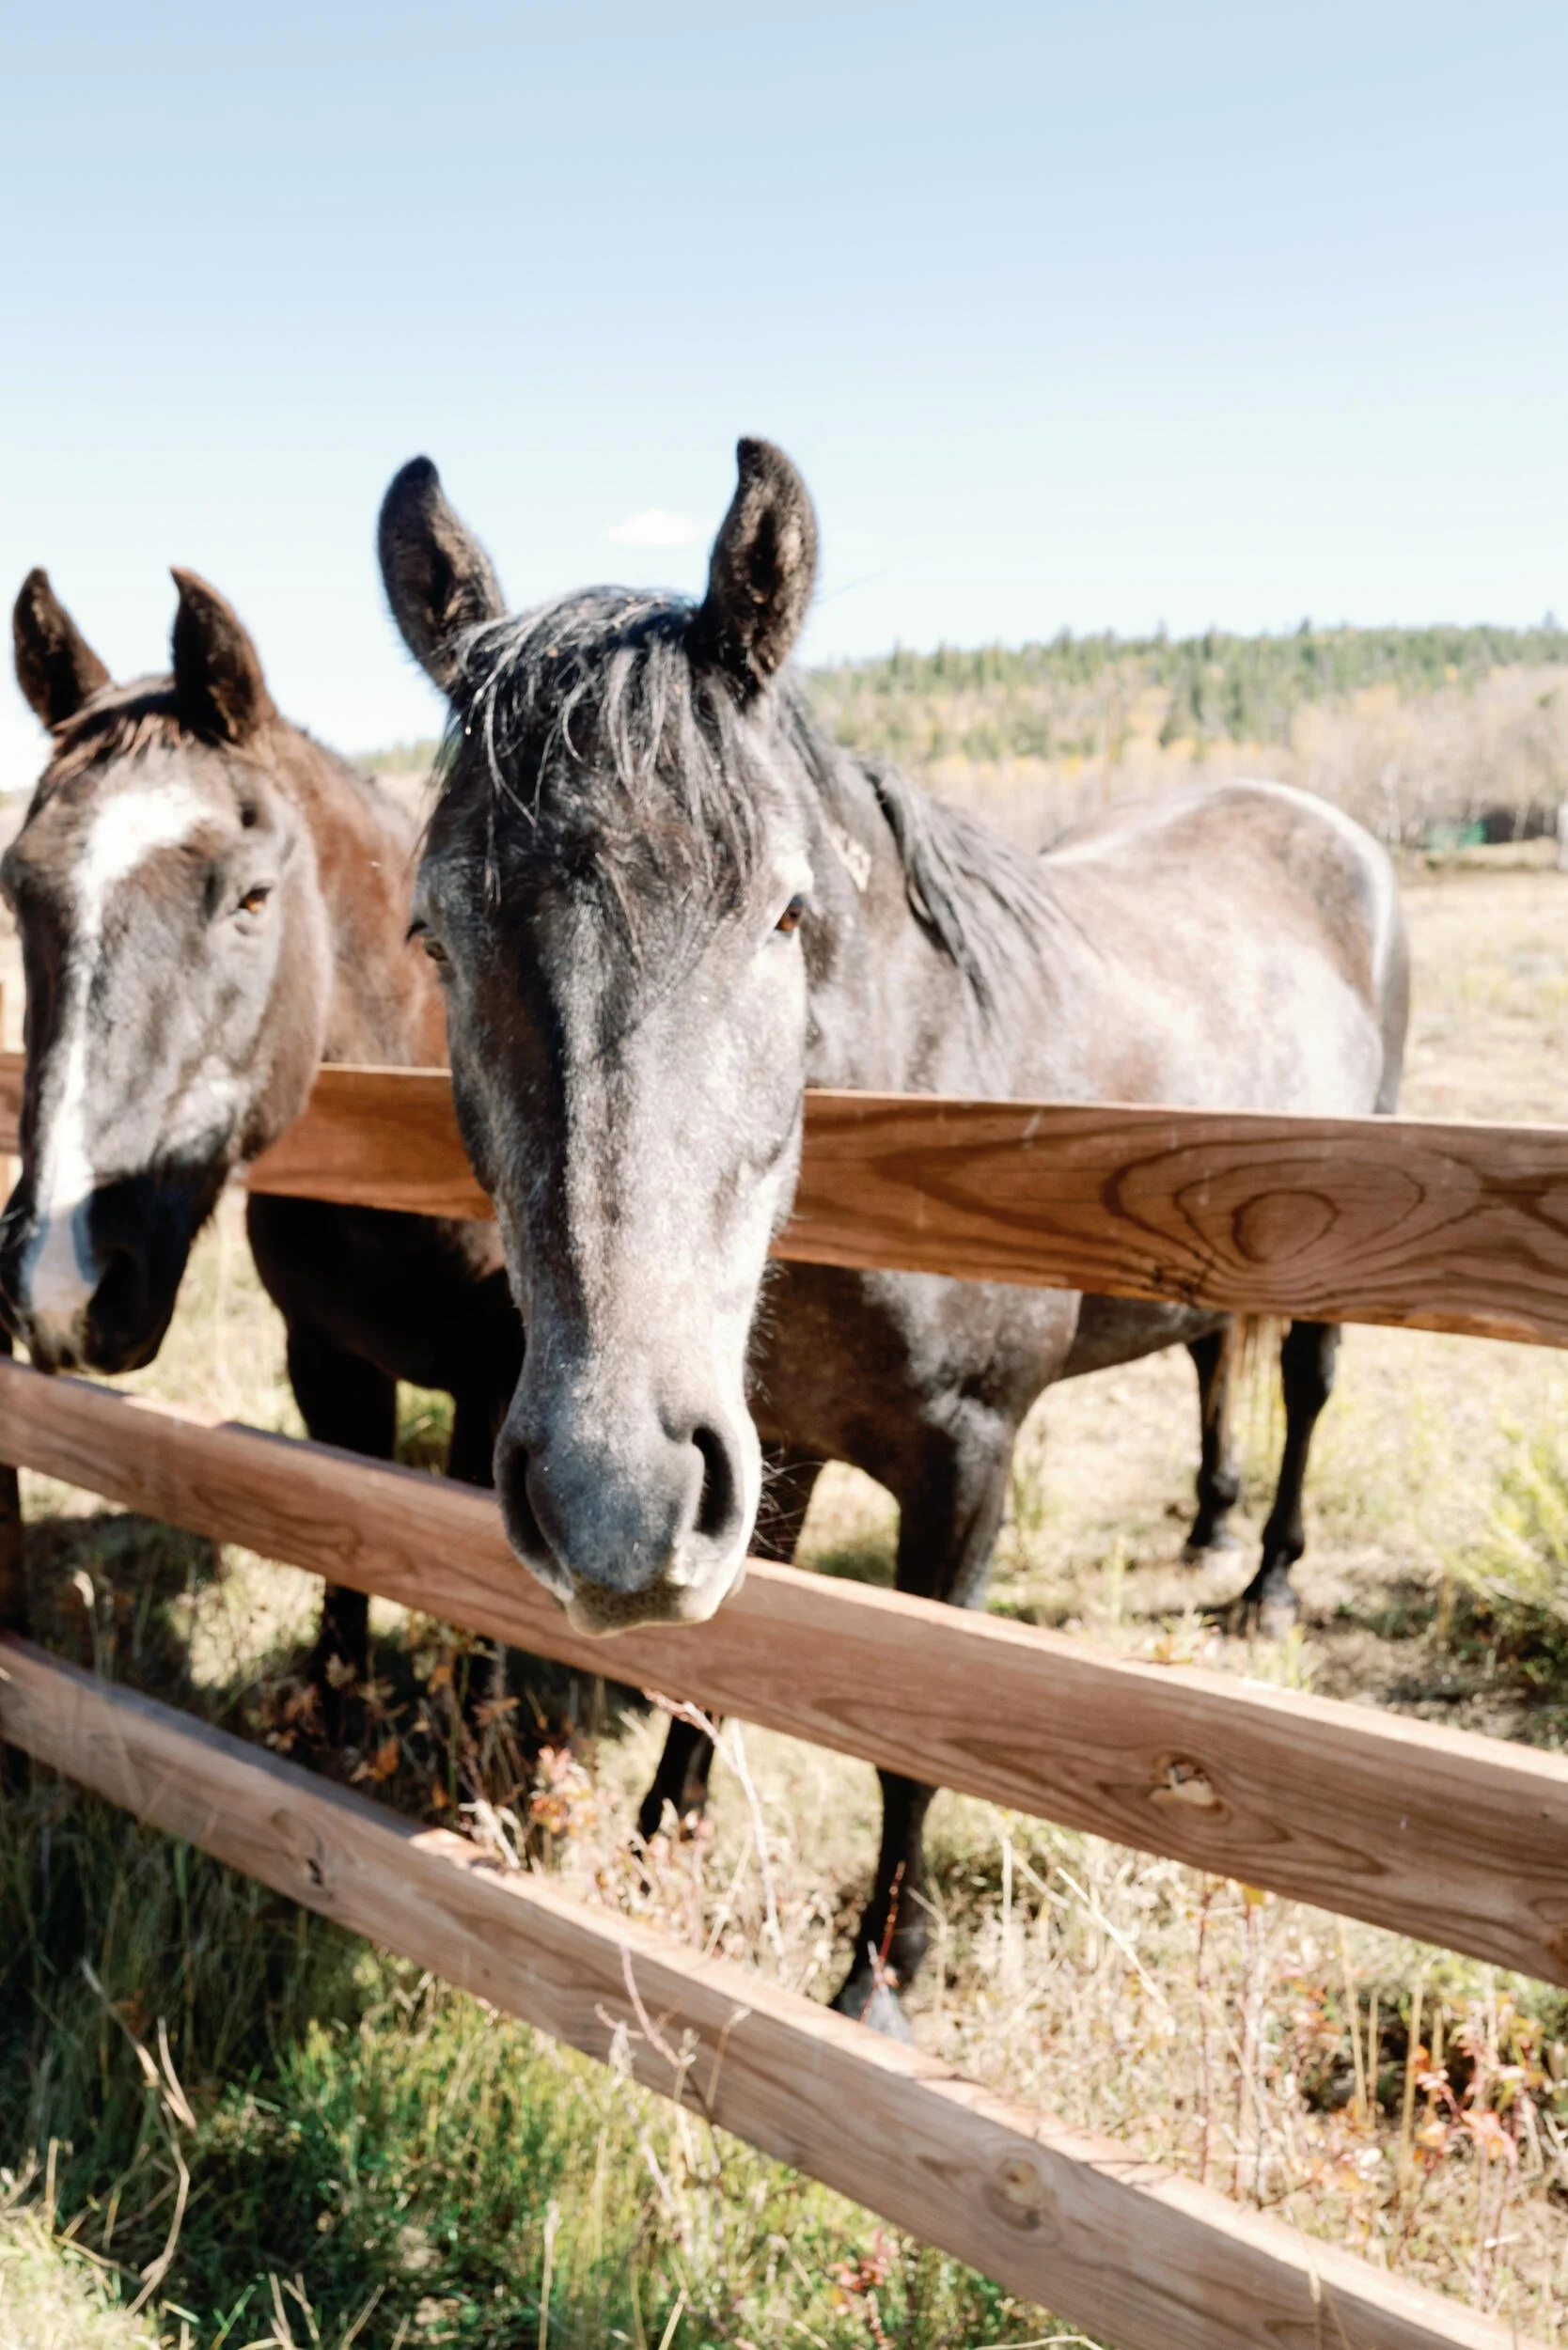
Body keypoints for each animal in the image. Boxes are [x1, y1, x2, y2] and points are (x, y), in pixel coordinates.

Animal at [0, 566, 523, 1687]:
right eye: (19, 893)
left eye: (250, 897)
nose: (61, 1283)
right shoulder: (327, 1371)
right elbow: (342, 1591)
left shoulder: (503, 1405)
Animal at [380, 437, 1408, 2030]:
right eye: (435, 934)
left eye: (785, 914)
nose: (609, 1499)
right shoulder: (765, 1453)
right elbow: (718, 1678)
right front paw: (658, 1850)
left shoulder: (968, 1463)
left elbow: (911, 1739)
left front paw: (879, 1972)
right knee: (1211, 1365)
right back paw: (1208, 1524)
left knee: (1303, 1385)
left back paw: (1271, 1585)